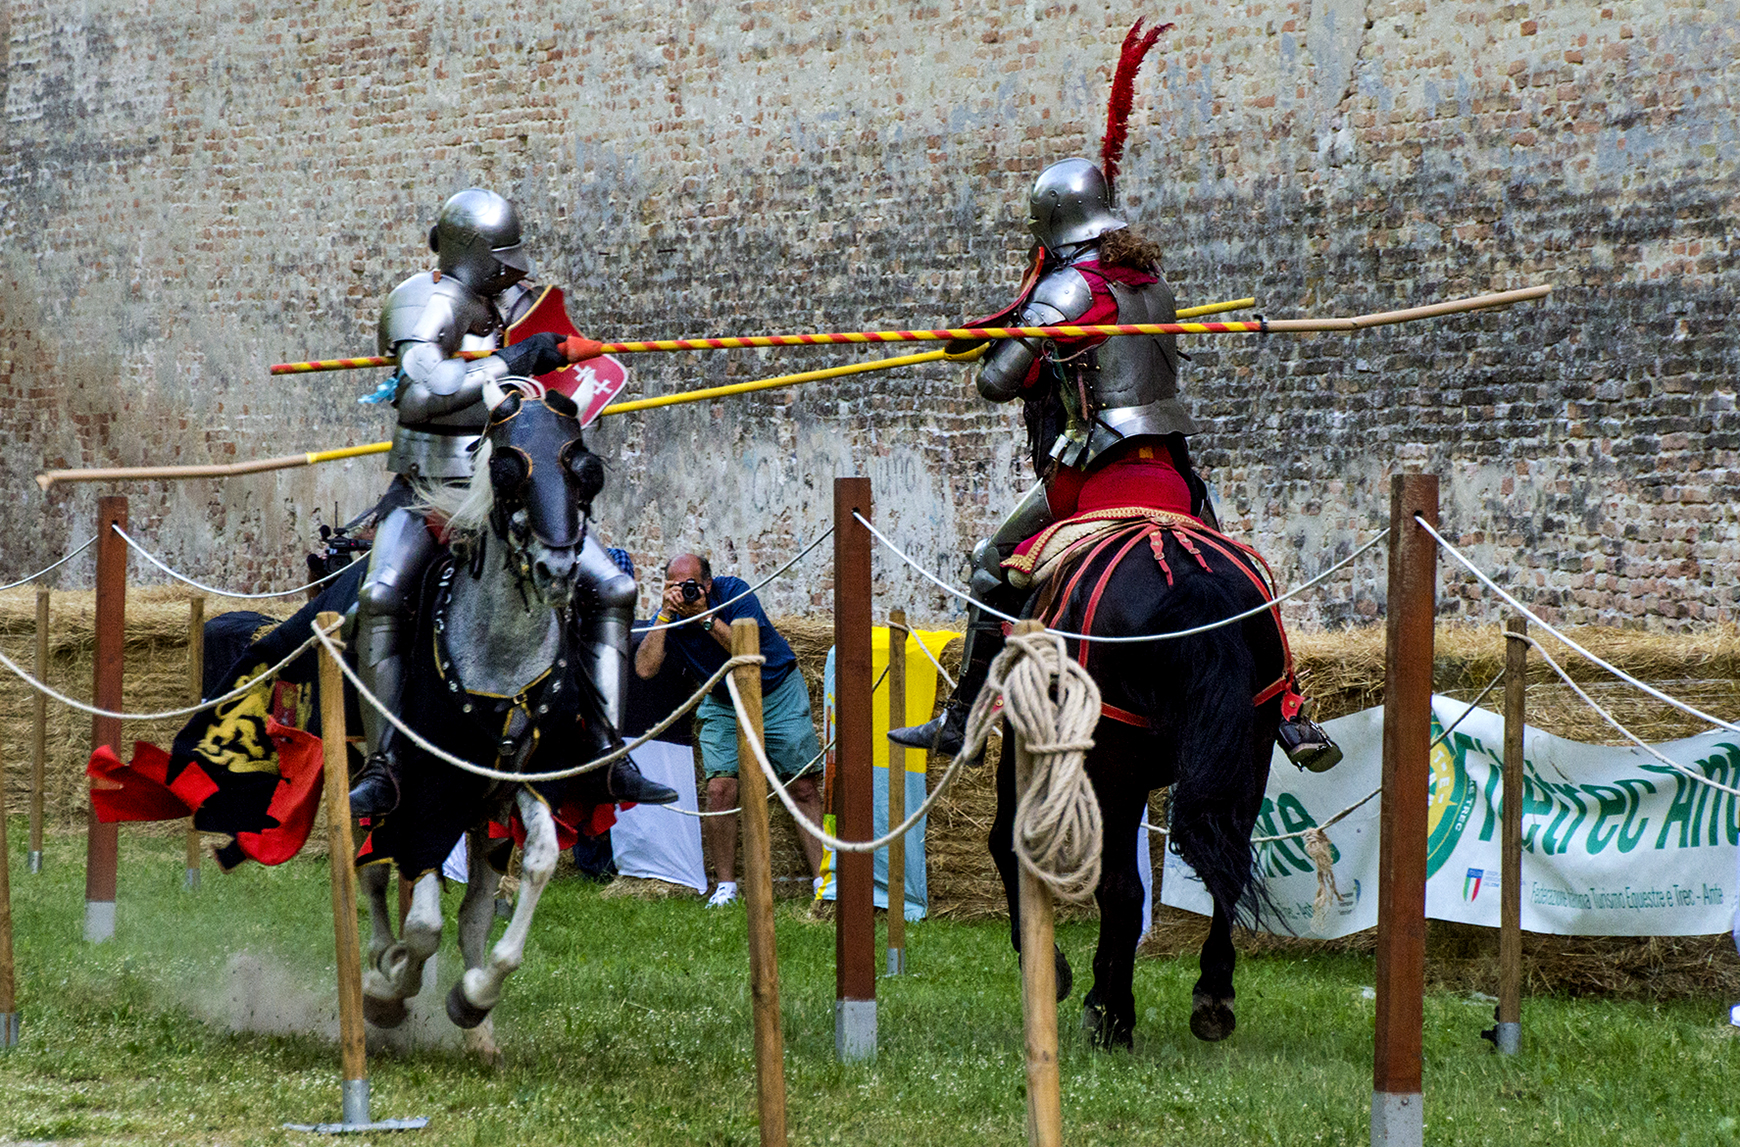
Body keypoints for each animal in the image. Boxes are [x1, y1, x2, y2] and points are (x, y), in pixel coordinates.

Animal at [988, 515, 1287, 1051]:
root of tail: (1189, 576)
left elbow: (1008, 841)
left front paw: (1059, 974)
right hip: (1252, 750)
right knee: (1228, 869)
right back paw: (1212, 997)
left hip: (1113, 761)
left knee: (1122, 890)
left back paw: (1113, 1020)